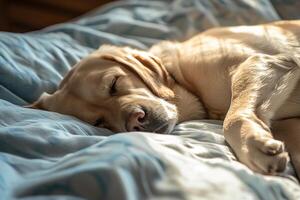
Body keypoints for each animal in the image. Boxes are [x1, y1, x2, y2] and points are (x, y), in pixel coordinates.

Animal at [29, 19, 300, 177]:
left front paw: (253, 145)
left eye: (114, 84)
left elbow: (232, 119)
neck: (179, 75)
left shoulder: (261, 62)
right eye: (99, 122)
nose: (136, 120)